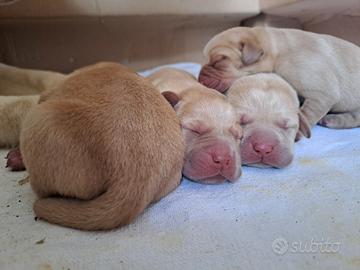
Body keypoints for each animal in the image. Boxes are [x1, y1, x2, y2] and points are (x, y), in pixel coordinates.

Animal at [200, 26, 360, 131]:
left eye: (218, 61)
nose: (200, 78)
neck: (278, 52)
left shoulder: (321, 93)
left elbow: (306, 114)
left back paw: (332, 120)